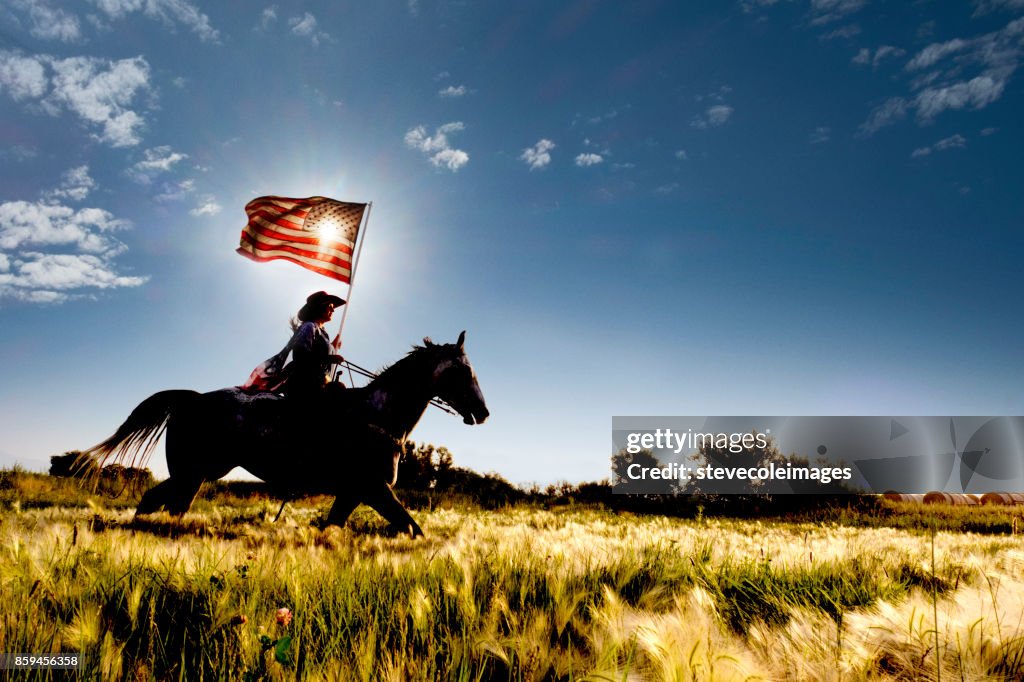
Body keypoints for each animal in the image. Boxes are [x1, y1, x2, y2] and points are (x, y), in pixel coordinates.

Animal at [81, 329, 489, 536]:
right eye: (465, 371)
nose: (483, 412)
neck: (379, 414)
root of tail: (191, 399)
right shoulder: (374, 489)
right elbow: (412, 528)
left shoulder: (354, 493)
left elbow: (333, 528)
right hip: (192, 473)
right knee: (160, 503)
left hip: (195, 475)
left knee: (163, 505)